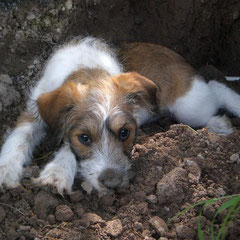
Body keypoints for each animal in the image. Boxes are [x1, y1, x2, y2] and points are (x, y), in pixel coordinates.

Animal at [0, 37, 240, 195]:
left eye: (125, 133)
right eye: (85, 138)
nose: (113, 183)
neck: (87, 70)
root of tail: (179, 57)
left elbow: (67, 146)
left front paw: (58, 171)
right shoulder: (33, 111)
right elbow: (20, 137)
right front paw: (6, 169)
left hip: (187, 106)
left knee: (216, 87)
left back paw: (223, 120)